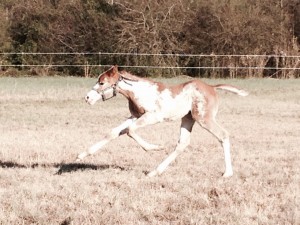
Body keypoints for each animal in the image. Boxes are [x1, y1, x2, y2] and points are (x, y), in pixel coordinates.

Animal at [77, 65, 248, 178]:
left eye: (102, 83)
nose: (87, 98)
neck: (140, 92)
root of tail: (212, 87)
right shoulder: (135, 116)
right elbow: (114, 133)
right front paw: (81, 155)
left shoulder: (153, 117)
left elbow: (130, 131)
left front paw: (155, 147)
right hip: (188, 119)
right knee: (182, 144)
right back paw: (155, 171)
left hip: (203, 118)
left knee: (223, 135)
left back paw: (227, 173)